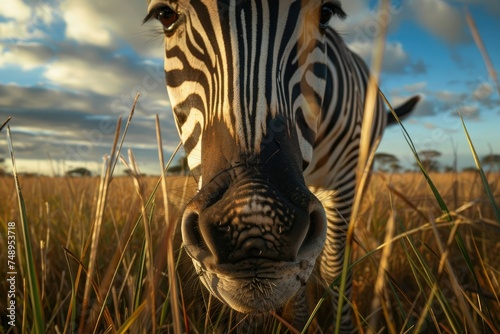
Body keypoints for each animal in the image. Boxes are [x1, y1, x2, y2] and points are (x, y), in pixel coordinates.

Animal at [144, 0, 418, 332]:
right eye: (165, 14)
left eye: (325, 13)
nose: (255, 234)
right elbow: (299, 283)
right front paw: (300, 322)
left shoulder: (343, 178)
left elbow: (334, 266)